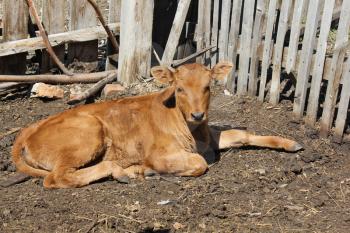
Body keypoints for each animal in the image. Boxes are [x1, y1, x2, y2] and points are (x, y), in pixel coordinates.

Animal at [10, 61, 300, 188]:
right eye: (179, 88)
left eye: (208, 87)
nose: (197, 115)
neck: (194, 131)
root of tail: (30, 128)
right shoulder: (162, 154)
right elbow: (199, 163)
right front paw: (149, 169)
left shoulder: (211, 137)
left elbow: (242, 134)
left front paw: (289, 143)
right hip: (88, 133)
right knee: (56, 178)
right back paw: (126, 171)